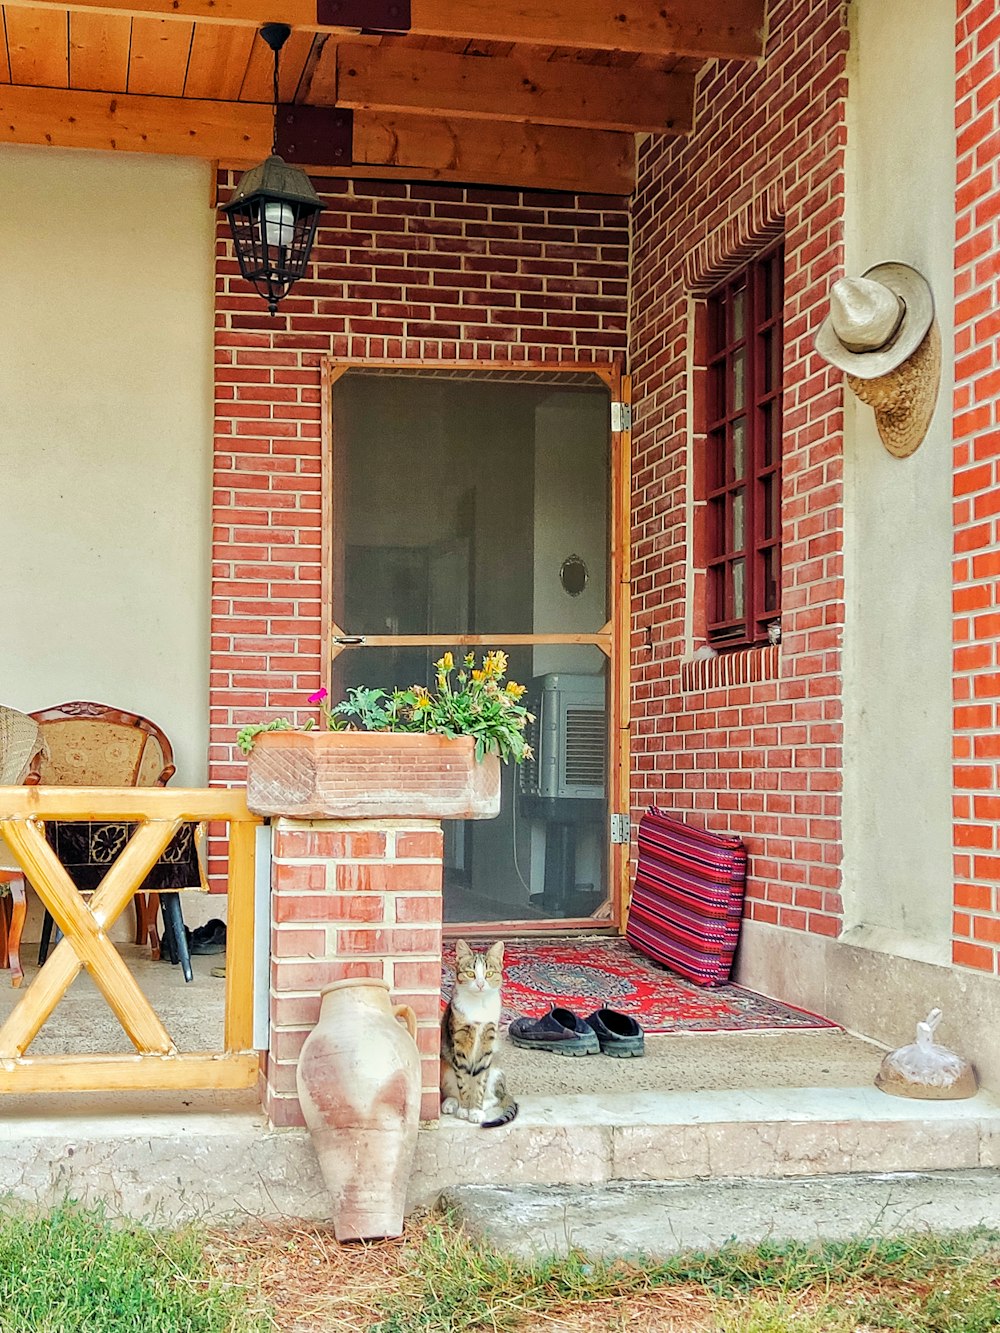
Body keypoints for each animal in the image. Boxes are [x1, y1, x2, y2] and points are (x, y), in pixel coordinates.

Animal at [442, 938, 520, 1125]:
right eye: (471, 974)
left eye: (489, 974)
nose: (480, 983)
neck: (478, 1005)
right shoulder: (459, 1043)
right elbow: (463, 1081)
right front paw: (464, 1110)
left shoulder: (487, 1044)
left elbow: (479, 1082)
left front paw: (475, 1111)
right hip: (445, 1068)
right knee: (454, 1089)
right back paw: (451, 1103)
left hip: (496, 1071)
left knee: (496, 1097)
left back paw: (482, 1104)